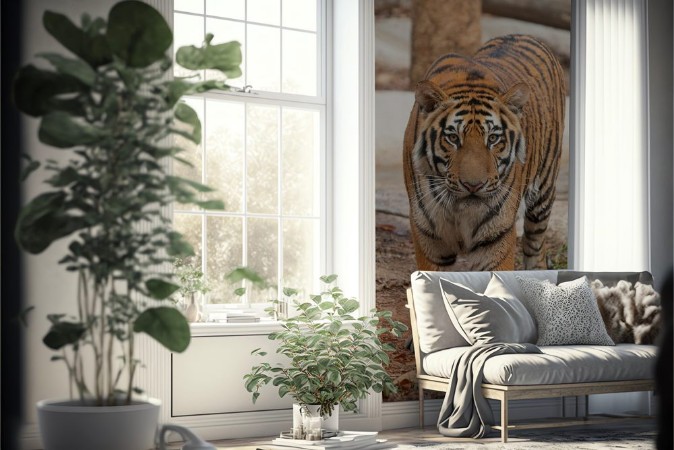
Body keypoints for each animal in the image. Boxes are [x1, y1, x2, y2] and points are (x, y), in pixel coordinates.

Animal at [403, 34, 565, 271]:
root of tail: (523, 35)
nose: (473, 186)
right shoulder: (429, 238)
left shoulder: (496, 238)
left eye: (493, 138)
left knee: (535, 245)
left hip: (543, 192)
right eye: (453, 138)